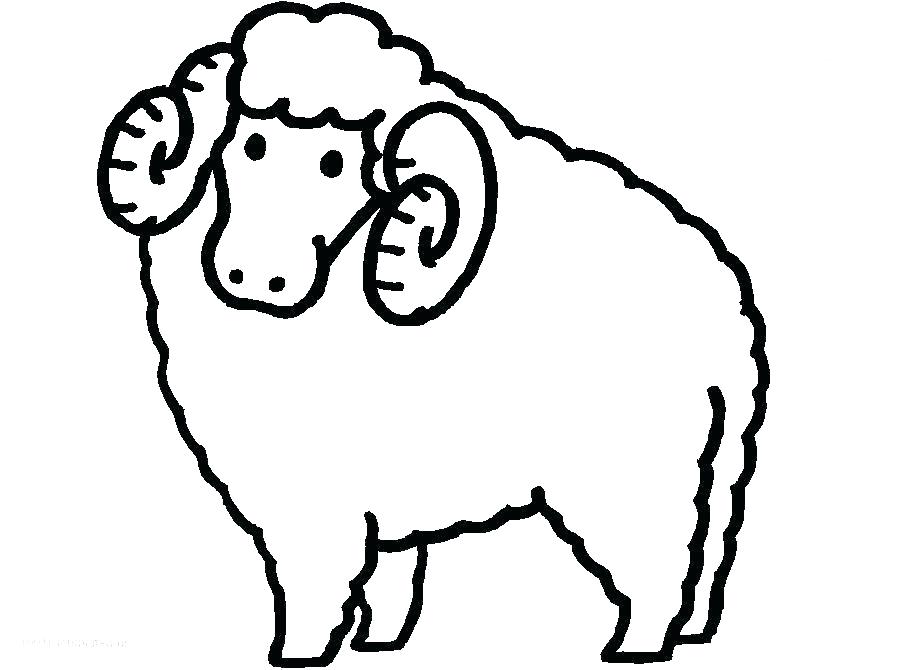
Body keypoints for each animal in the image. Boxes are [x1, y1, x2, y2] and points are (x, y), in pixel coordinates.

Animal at [96, 2, 768, 666]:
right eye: (250, 143)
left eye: (338, 163)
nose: (257, 276)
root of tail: (725, 303)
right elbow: (389, 576)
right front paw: (377, 643)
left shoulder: (314, 498)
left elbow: (312, 582)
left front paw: (298, 654)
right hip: (710, 464)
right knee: (709, 548)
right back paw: (692, 631)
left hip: (625, 466)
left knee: (657, 559)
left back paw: (636, 645)